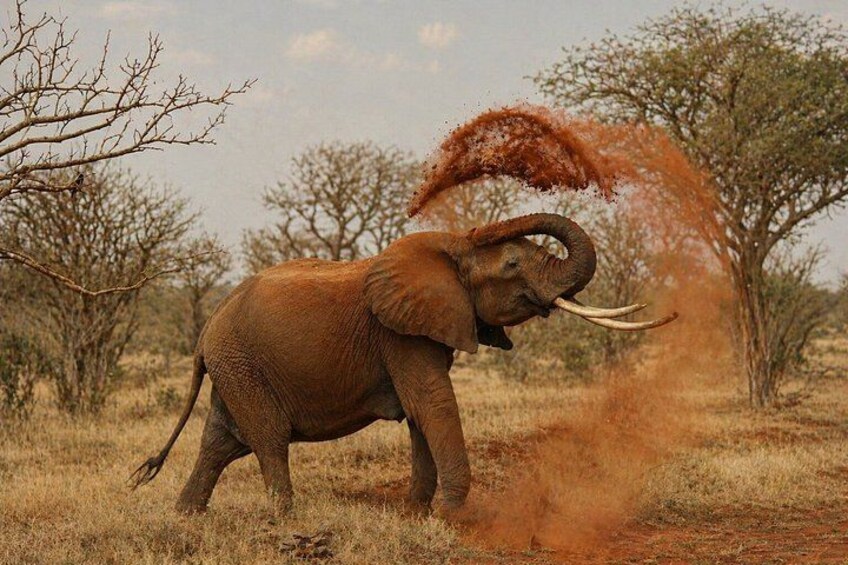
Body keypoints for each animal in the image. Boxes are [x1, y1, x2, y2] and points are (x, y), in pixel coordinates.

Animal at [131, 213, 674, 514]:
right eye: (513, 265)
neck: (449, 251)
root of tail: (206, 330)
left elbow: (421, 411)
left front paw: (415, 513)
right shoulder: (400, 334)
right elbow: (433, 402)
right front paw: (452, 516)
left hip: (236, 367)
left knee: (222, 441)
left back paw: (187, 516)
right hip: (243, 364)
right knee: (266, 439)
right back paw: (285, 517)